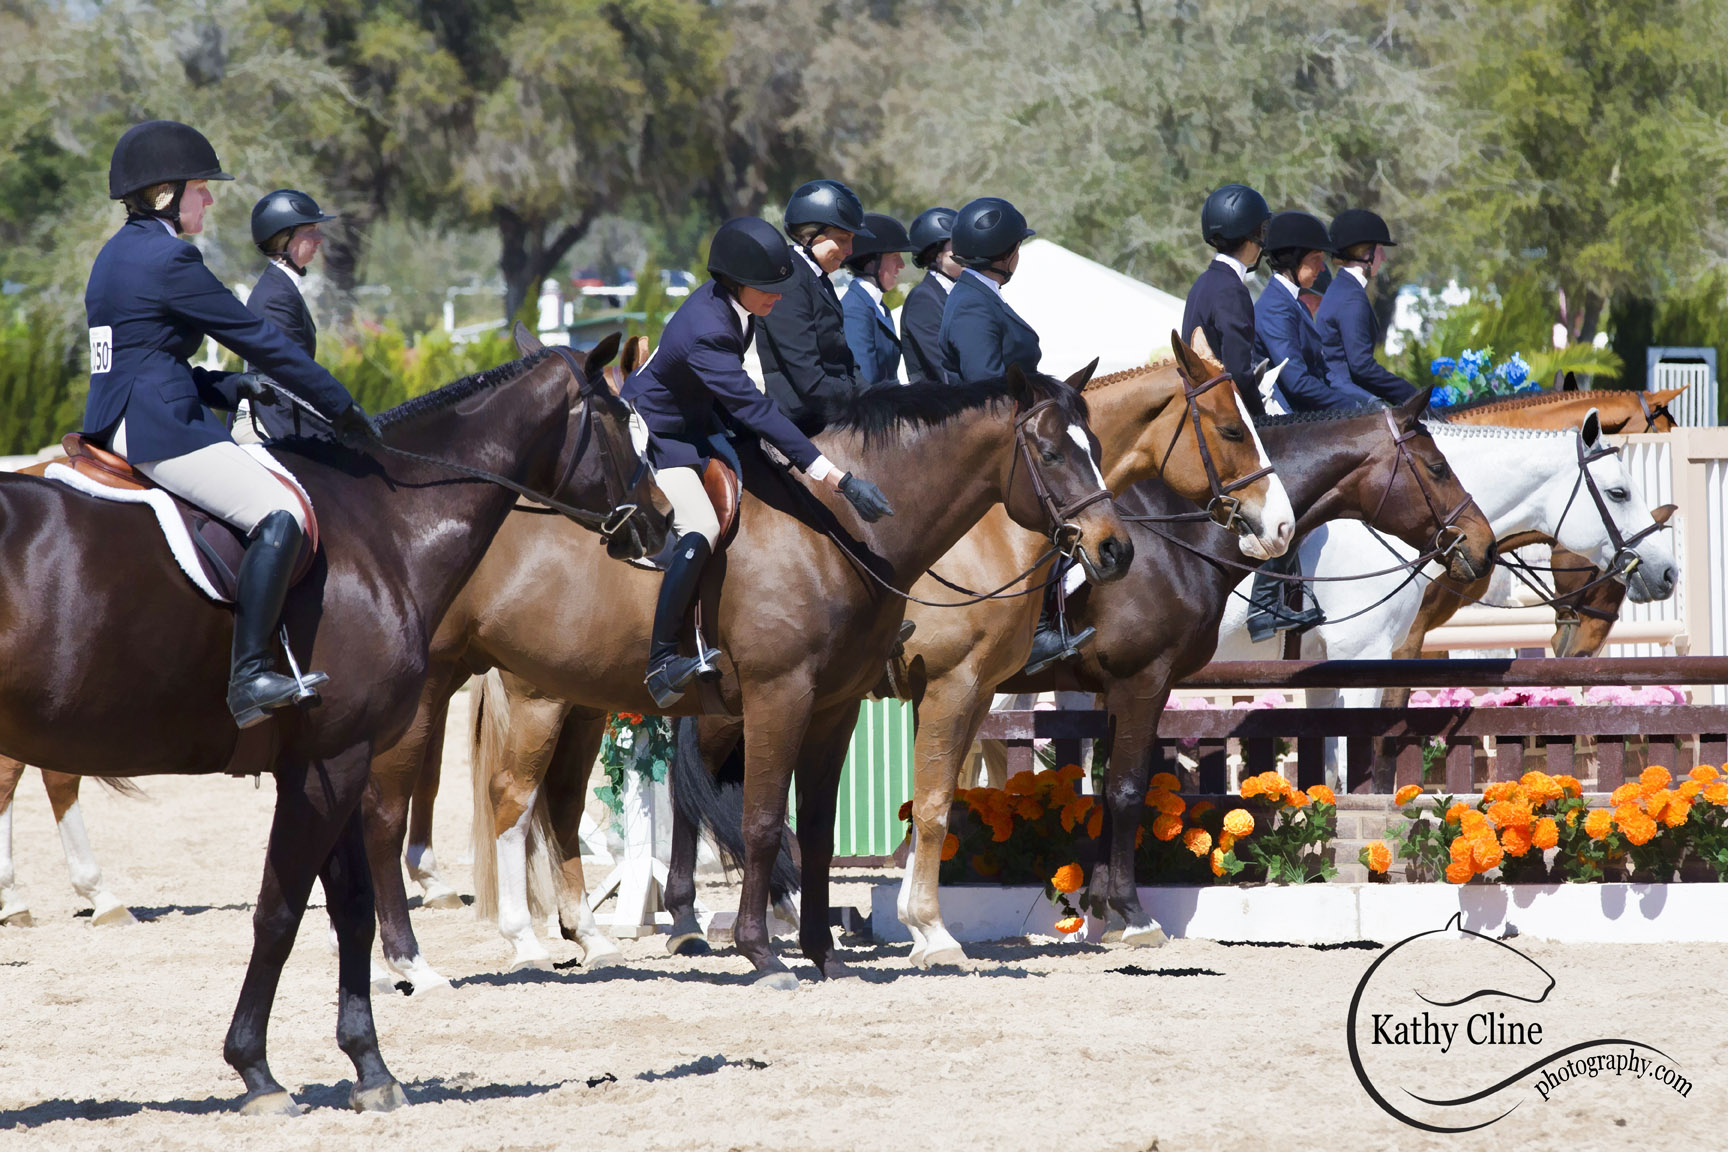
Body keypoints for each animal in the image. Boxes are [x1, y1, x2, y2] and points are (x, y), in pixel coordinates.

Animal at [0, 335, 660, 1119]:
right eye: (625, 423)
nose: (662, 524)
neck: (383, 527)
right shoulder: (333, 761)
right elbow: (282, 911)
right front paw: (257, 1072)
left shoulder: (340, 757)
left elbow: (350, 907)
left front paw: (369, 1068)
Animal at [364, 360, 1140, 994]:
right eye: (1050, 451)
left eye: (1098, 450)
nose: (1116, 550)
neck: (838, 528)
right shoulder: (796, 693)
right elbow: (774, 820)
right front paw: (770, 951)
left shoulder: (837, 706)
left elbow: (819, 829)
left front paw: (823, 951)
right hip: (501, 696)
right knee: (472, 803)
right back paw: (474, 949)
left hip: (572, 695)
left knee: (549, 803)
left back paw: (578, 938)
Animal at [891, 392, 1499, 960]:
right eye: (1437, 467)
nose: (1484, 545)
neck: (1171, 539)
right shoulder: (1143, 681)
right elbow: (1127, 790)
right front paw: (1133, 914)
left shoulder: (1119, 689)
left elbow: (1110, 787)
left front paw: (1103, 907)